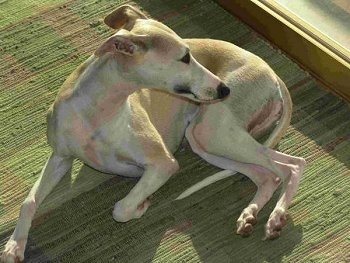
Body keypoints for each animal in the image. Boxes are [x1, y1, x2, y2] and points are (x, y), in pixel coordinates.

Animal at [1, 5, 304, 262]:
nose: (223, 89)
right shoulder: (60, 158)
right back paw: (250, 216)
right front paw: (14, 246)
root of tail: (273, 74)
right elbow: (28, 202)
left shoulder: (163, 164)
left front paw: (142, 204)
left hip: (214, 132)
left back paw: (275, 219)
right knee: (266, 175)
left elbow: (121, 208)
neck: (96, 113)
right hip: (205, 140)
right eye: (184, 57)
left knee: (292, 164)